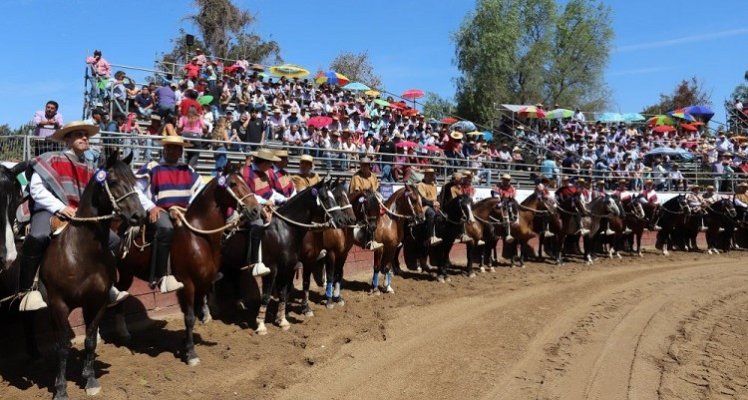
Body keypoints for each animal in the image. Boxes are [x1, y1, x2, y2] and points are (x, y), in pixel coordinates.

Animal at [39, 152, 146, 400]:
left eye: (135, 181)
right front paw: (60, 389)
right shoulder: (59, 304)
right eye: (113, 181)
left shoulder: (96, 302)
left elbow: (89, 341)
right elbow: (64, 346)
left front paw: (89, 379)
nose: (139, 215)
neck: (82, 253)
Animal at [114, 162, 260, 366]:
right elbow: (189, 317)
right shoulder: (188, 283)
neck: (198, 236)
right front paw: (191, 353)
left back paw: (123, 333)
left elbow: (197, 312)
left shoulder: (203, 281)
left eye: (245, 181)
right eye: (233, 183)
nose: (255, 210)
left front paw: (186, 342)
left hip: (127, 272)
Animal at [222, 178, 350, 334]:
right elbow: (267, 295)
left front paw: (282, 320)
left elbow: (285, 292)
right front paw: (261, 324)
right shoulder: (273, 269)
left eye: (335, 198)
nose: (342, 220)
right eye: (326, 198)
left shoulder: (289, 267)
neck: (284, 230)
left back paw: (238, 305)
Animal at [298, 178, 356, 316]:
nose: (352, 219)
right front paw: (329, 300)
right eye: (339, 197)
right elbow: (330, 274)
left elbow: (338, 274)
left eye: (348, 196)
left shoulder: (343, 254)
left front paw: (337, 297)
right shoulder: (331, 253)